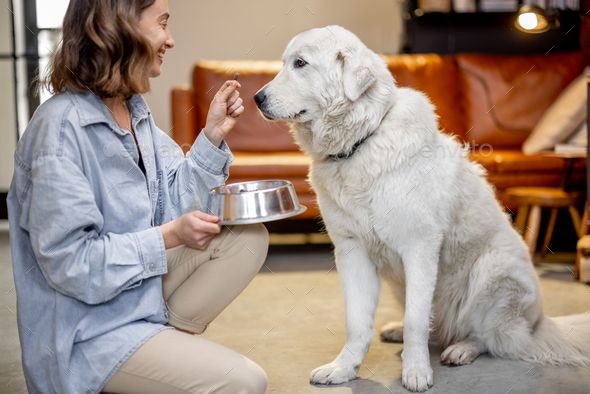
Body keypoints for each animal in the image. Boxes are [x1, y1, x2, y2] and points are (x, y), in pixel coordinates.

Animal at [256, 26, 590, 392]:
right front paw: (344, 368)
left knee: (488, 337)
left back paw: (460, 349)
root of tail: (539, 323)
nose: (257, 98)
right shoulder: (351, 252)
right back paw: (397, 331)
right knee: (433, 325)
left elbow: (417, 319)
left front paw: (416, 372)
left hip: (493, 272)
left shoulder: (419, 249)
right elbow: (357, 322)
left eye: (300, 63)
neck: (361, 143)